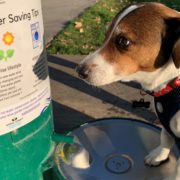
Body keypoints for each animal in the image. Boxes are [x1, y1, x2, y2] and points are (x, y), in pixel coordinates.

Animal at [76, 2, 180, 180]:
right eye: (105, 34)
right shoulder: (166, 126)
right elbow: (165, 139)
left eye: (123, 41)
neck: (171, 83)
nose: (79, 71)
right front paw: (158, 156)